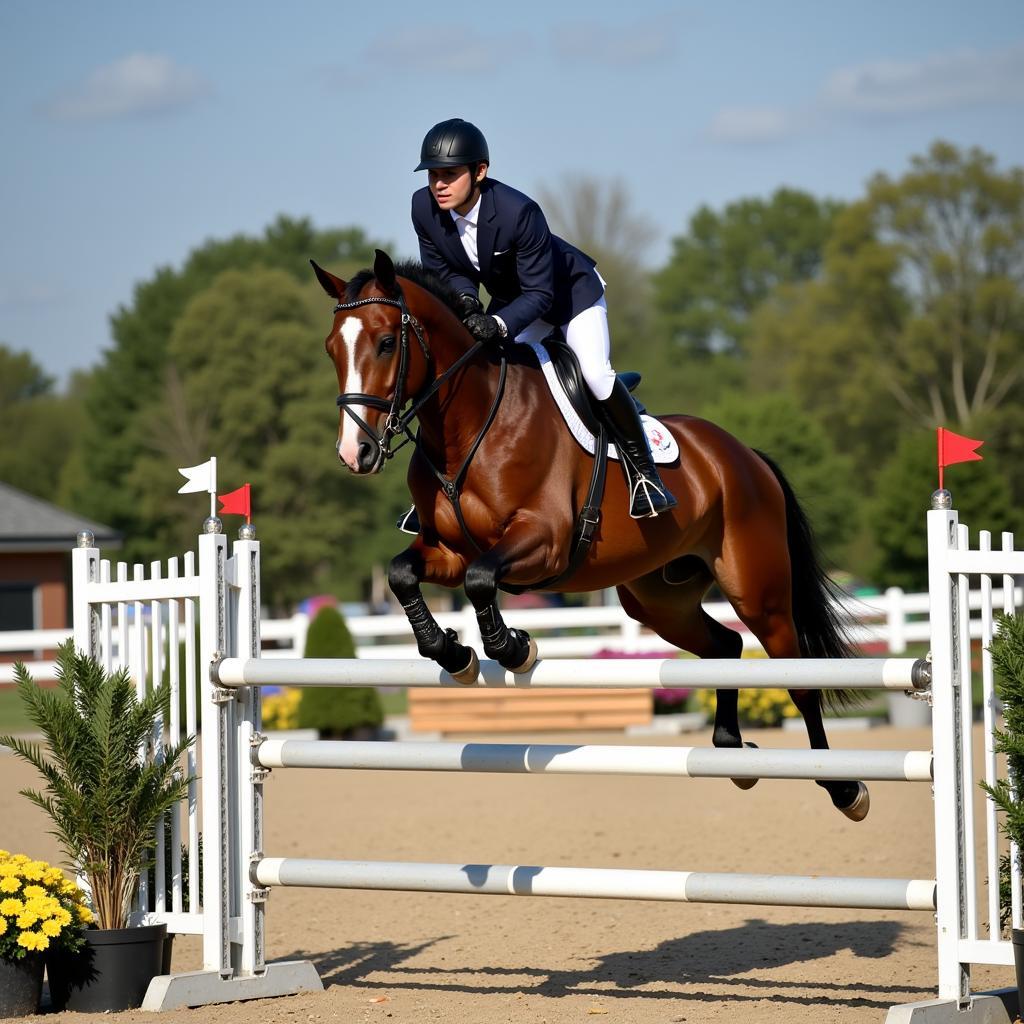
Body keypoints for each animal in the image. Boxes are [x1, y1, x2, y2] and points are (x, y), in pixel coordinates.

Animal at [315, 251, 868, 819]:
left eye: (386, 342)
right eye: (332, 347)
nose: (355, 452)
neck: (467, 428)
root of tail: (744, 455)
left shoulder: (545, 542)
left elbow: (481, 579)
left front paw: (513, 648)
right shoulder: (448, 551)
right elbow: (404, 573)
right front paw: (453, 653)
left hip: (759, 591)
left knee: (800, 680)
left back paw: (844, 788)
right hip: (658, 600)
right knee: (725, 646)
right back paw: (732, 751)